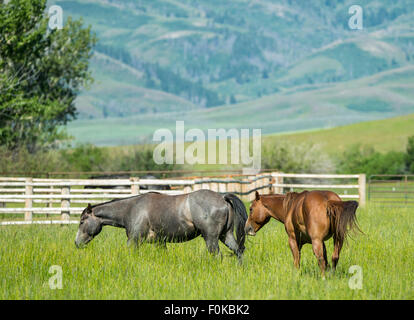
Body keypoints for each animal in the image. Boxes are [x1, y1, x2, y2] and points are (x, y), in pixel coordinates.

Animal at [75, 190, 247, 260]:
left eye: (82, 221)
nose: (76, 243)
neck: (132, 208)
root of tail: (222, 198)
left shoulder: (134, 241)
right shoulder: (160, 242)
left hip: (211, 239)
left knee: (217, 256)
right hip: (226, 236)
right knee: (239, 252)